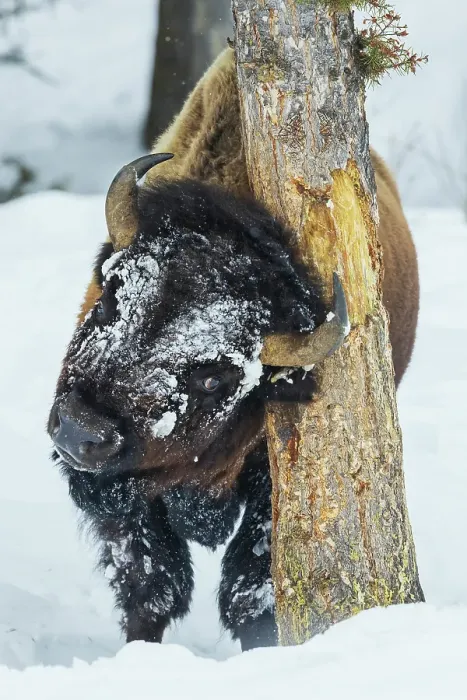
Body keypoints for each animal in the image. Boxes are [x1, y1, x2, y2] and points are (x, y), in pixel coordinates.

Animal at [48, 48, 419, 651]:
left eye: (215, 377)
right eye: (109, 297)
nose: (82, 431)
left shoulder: (271, 487)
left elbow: (250, 593)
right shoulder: (125, 501)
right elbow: (150, 584)